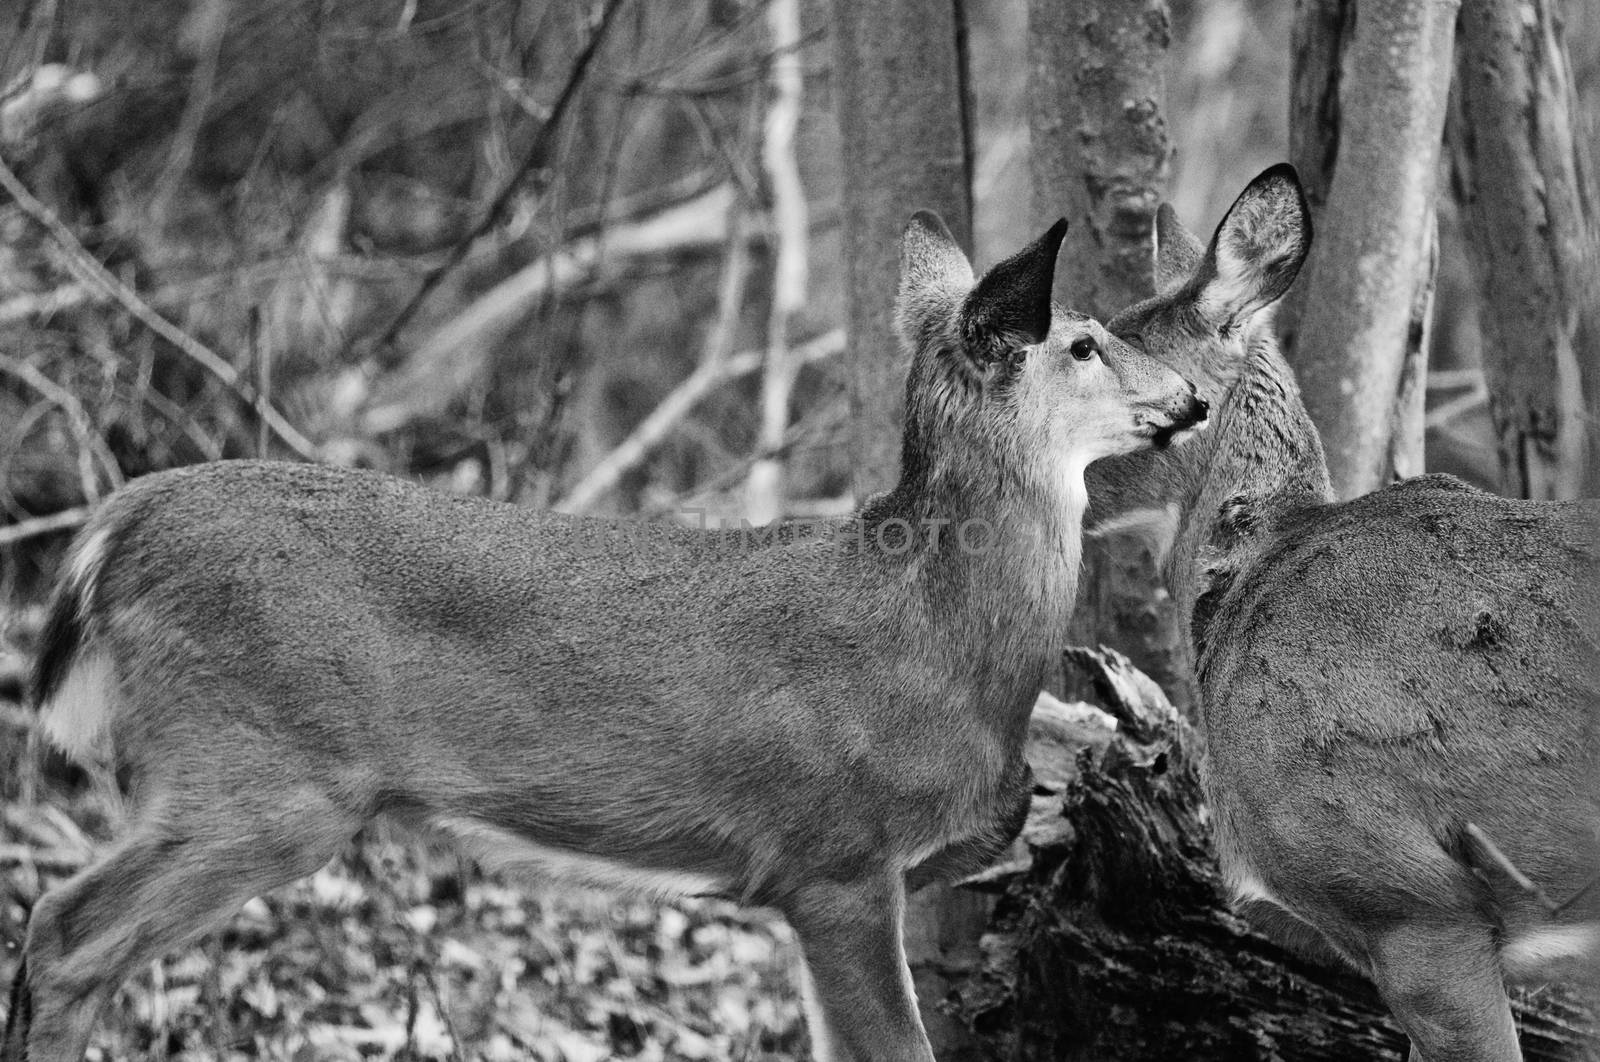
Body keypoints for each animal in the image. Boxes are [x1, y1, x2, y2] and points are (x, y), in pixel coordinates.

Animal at [0, 211, 1203, 1055]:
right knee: (61, 935)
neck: (940, 644)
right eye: (1084, 343)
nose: (1193, 395)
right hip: (258, 773)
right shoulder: (834, 861)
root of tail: (110, 527)